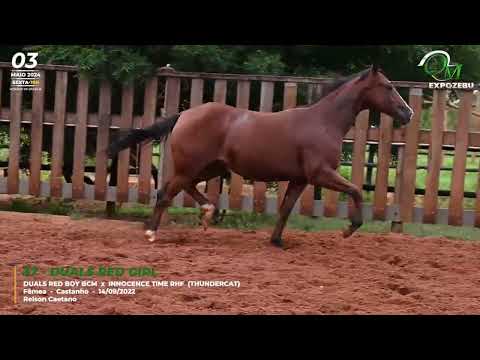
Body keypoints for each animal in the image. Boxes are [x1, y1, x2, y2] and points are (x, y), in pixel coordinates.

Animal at [108, 66, 412, 248]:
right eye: (387, 86)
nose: (407, 113)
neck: (324, 122)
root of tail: (184, 114)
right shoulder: (320, 173)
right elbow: (356, 190)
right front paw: (350, 229)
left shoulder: (300, 179)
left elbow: (286, 208)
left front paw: (276, 241)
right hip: (191, 166)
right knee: (165, 193)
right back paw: (152, 232)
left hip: (210, 167)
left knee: (186, 188)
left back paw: (208, 213)